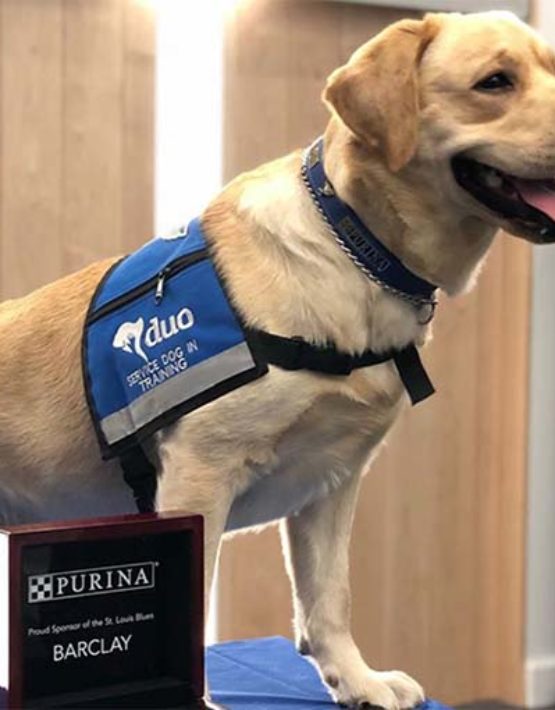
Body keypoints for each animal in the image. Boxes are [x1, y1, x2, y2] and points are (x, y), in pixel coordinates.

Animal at [1, 9, 555, 709]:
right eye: (495, 82)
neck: (352, 247)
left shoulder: (334, 479)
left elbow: (330, 599)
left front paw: (358, 680)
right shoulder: (200, 473)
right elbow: (194, 612)